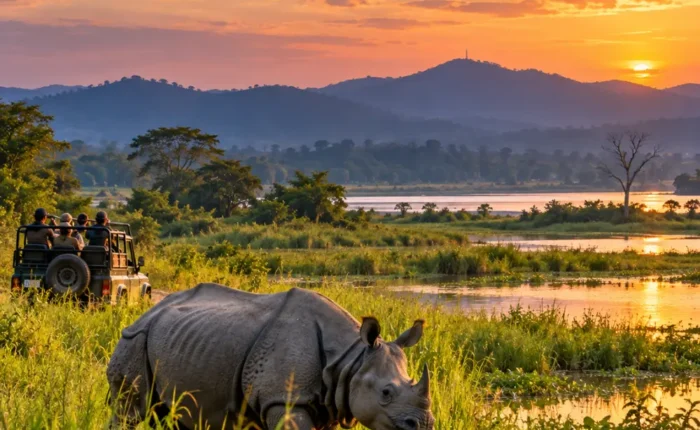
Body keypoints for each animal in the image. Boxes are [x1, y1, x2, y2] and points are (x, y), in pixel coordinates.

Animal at [107, 283, 434, 430]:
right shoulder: (284, 398)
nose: (424, 425)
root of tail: (146, 312)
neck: (349, 359)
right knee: (131, 412)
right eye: (386, 393)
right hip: (135, 339)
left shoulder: (332, 400)